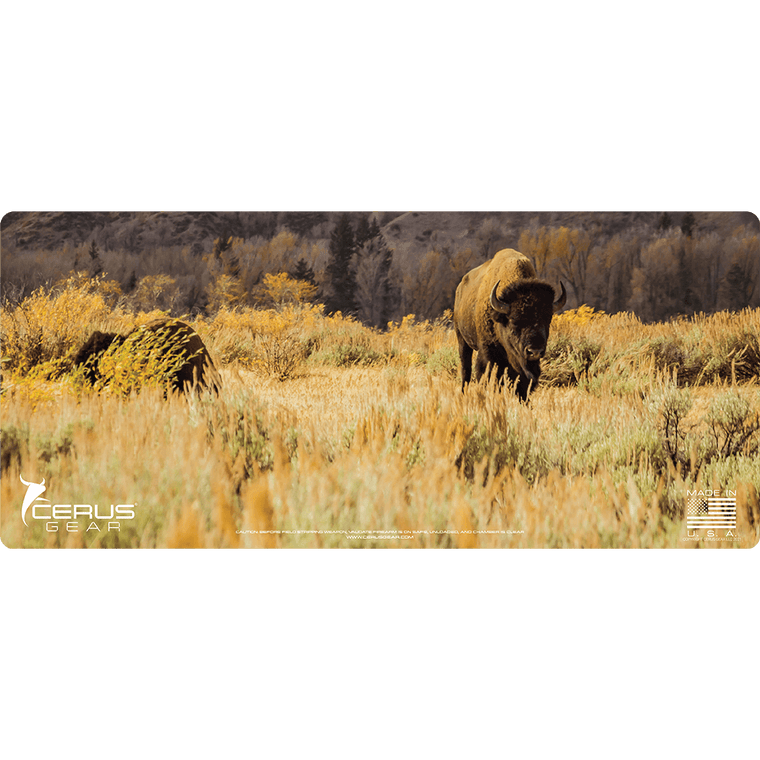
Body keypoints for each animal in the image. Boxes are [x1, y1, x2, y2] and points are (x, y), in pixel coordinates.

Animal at [453, 248, 566, 400]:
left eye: (547, 320)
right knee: (466, 370)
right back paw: (463, 394)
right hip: (462, 340)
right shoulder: (488, 352)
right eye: (514, 321)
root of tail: (460, 288)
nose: (534, 351)